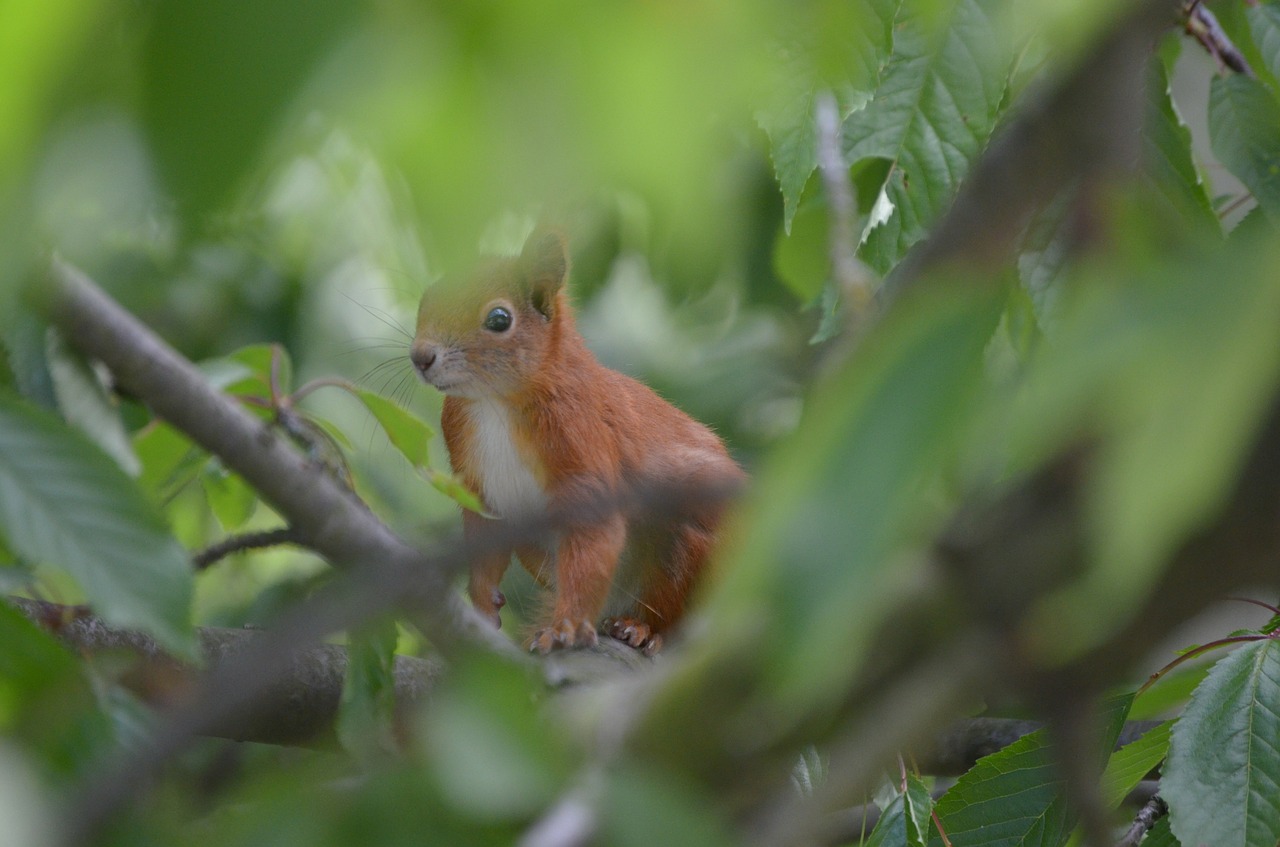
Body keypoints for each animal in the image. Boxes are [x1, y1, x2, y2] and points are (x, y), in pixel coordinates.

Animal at [409, 232, 747, 655]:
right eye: (427, 298)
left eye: (499, 319)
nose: (421, 356)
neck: (495, 402)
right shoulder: (475, 478)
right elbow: (484, 537)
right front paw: (484, 604)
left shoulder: (581, 436)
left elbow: (594, 532)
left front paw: (563, 627)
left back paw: (640, 627)